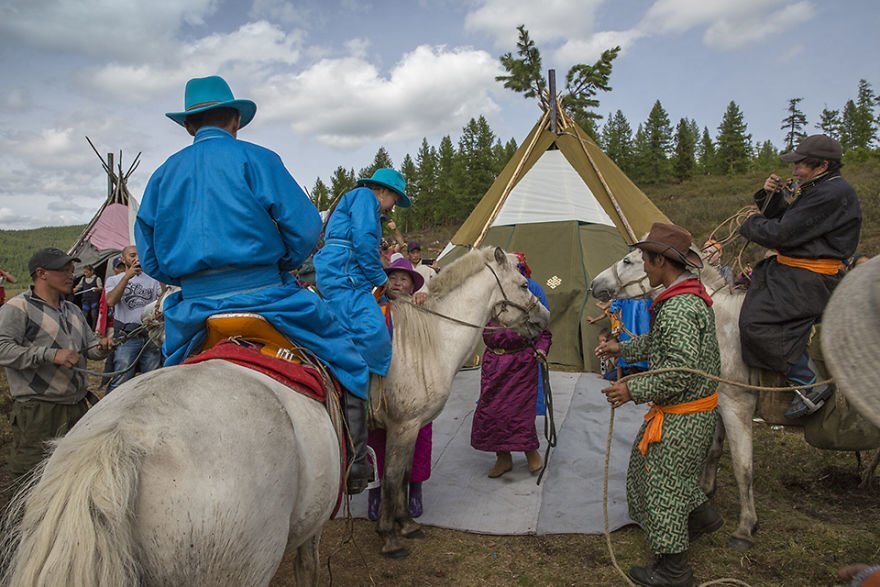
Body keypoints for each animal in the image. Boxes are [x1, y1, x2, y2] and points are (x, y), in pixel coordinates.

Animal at [1, 245, 552, 584]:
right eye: (525, 285)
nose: (545, 320)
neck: (427, 339)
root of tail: (119, 440)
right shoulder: (403, 426)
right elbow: (395, 478)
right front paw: (394, 533)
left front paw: (400, 523)